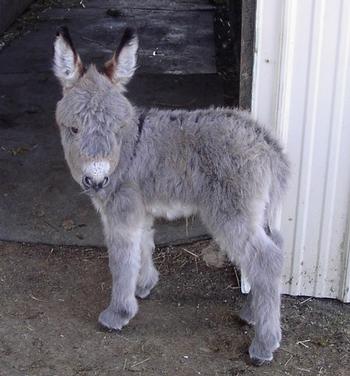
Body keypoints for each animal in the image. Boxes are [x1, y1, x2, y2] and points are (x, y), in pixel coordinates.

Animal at [53, 25, 290, 364]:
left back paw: (264, 345)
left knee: (266, 260)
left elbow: (121, 259)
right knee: (276, 247)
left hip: (231, 213)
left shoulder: (121, 211)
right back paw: (252, 312)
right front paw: (144, 285)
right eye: (73, 129)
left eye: (116, 127)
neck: (129, 148)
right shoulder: (139, 209)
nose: (96, 180)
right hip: (259, 210)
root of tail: (266, 143)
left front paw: (118, 313)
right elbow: (143, 245)